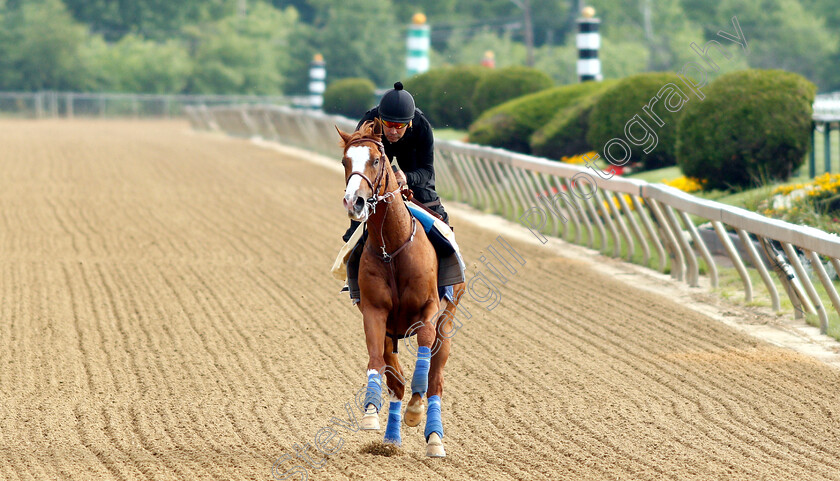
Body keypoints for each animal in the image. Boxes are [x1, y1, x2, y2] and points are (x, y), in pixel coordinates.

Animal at [334, 118, 466, 456]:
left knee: (435, 380)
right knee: (396, 382)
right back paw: (391, 438)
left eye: (375, 160)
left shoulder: (428, 310)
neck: (392, 248)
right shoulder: (375, 312)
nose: (354, 202)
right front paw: (370, 411)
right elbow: (376, 361)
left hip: (447, 322)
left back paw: (434, 437)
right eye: (345, 161)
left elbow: (423, 360)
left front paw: (416, 410)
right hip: (392, 332)